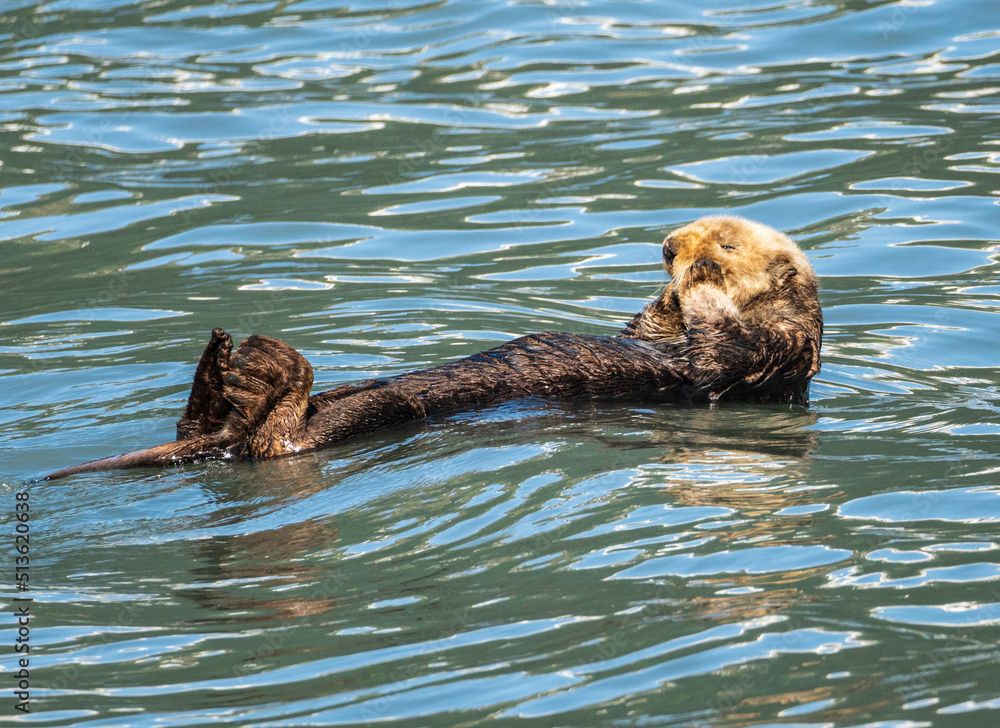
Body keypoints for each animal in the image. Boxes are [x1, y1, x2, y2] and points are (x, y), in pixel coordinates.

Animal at [45, 216, 822, 480]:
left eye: (727, 244)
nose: (668, 245)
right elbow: (652, 330)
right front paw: (663, 296)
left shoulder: (765, 354)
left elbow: (722, 345)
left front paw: (698, 282)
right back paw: (224, 367)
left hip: (365, 418)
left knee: (279, 440)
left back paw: (270, 368)